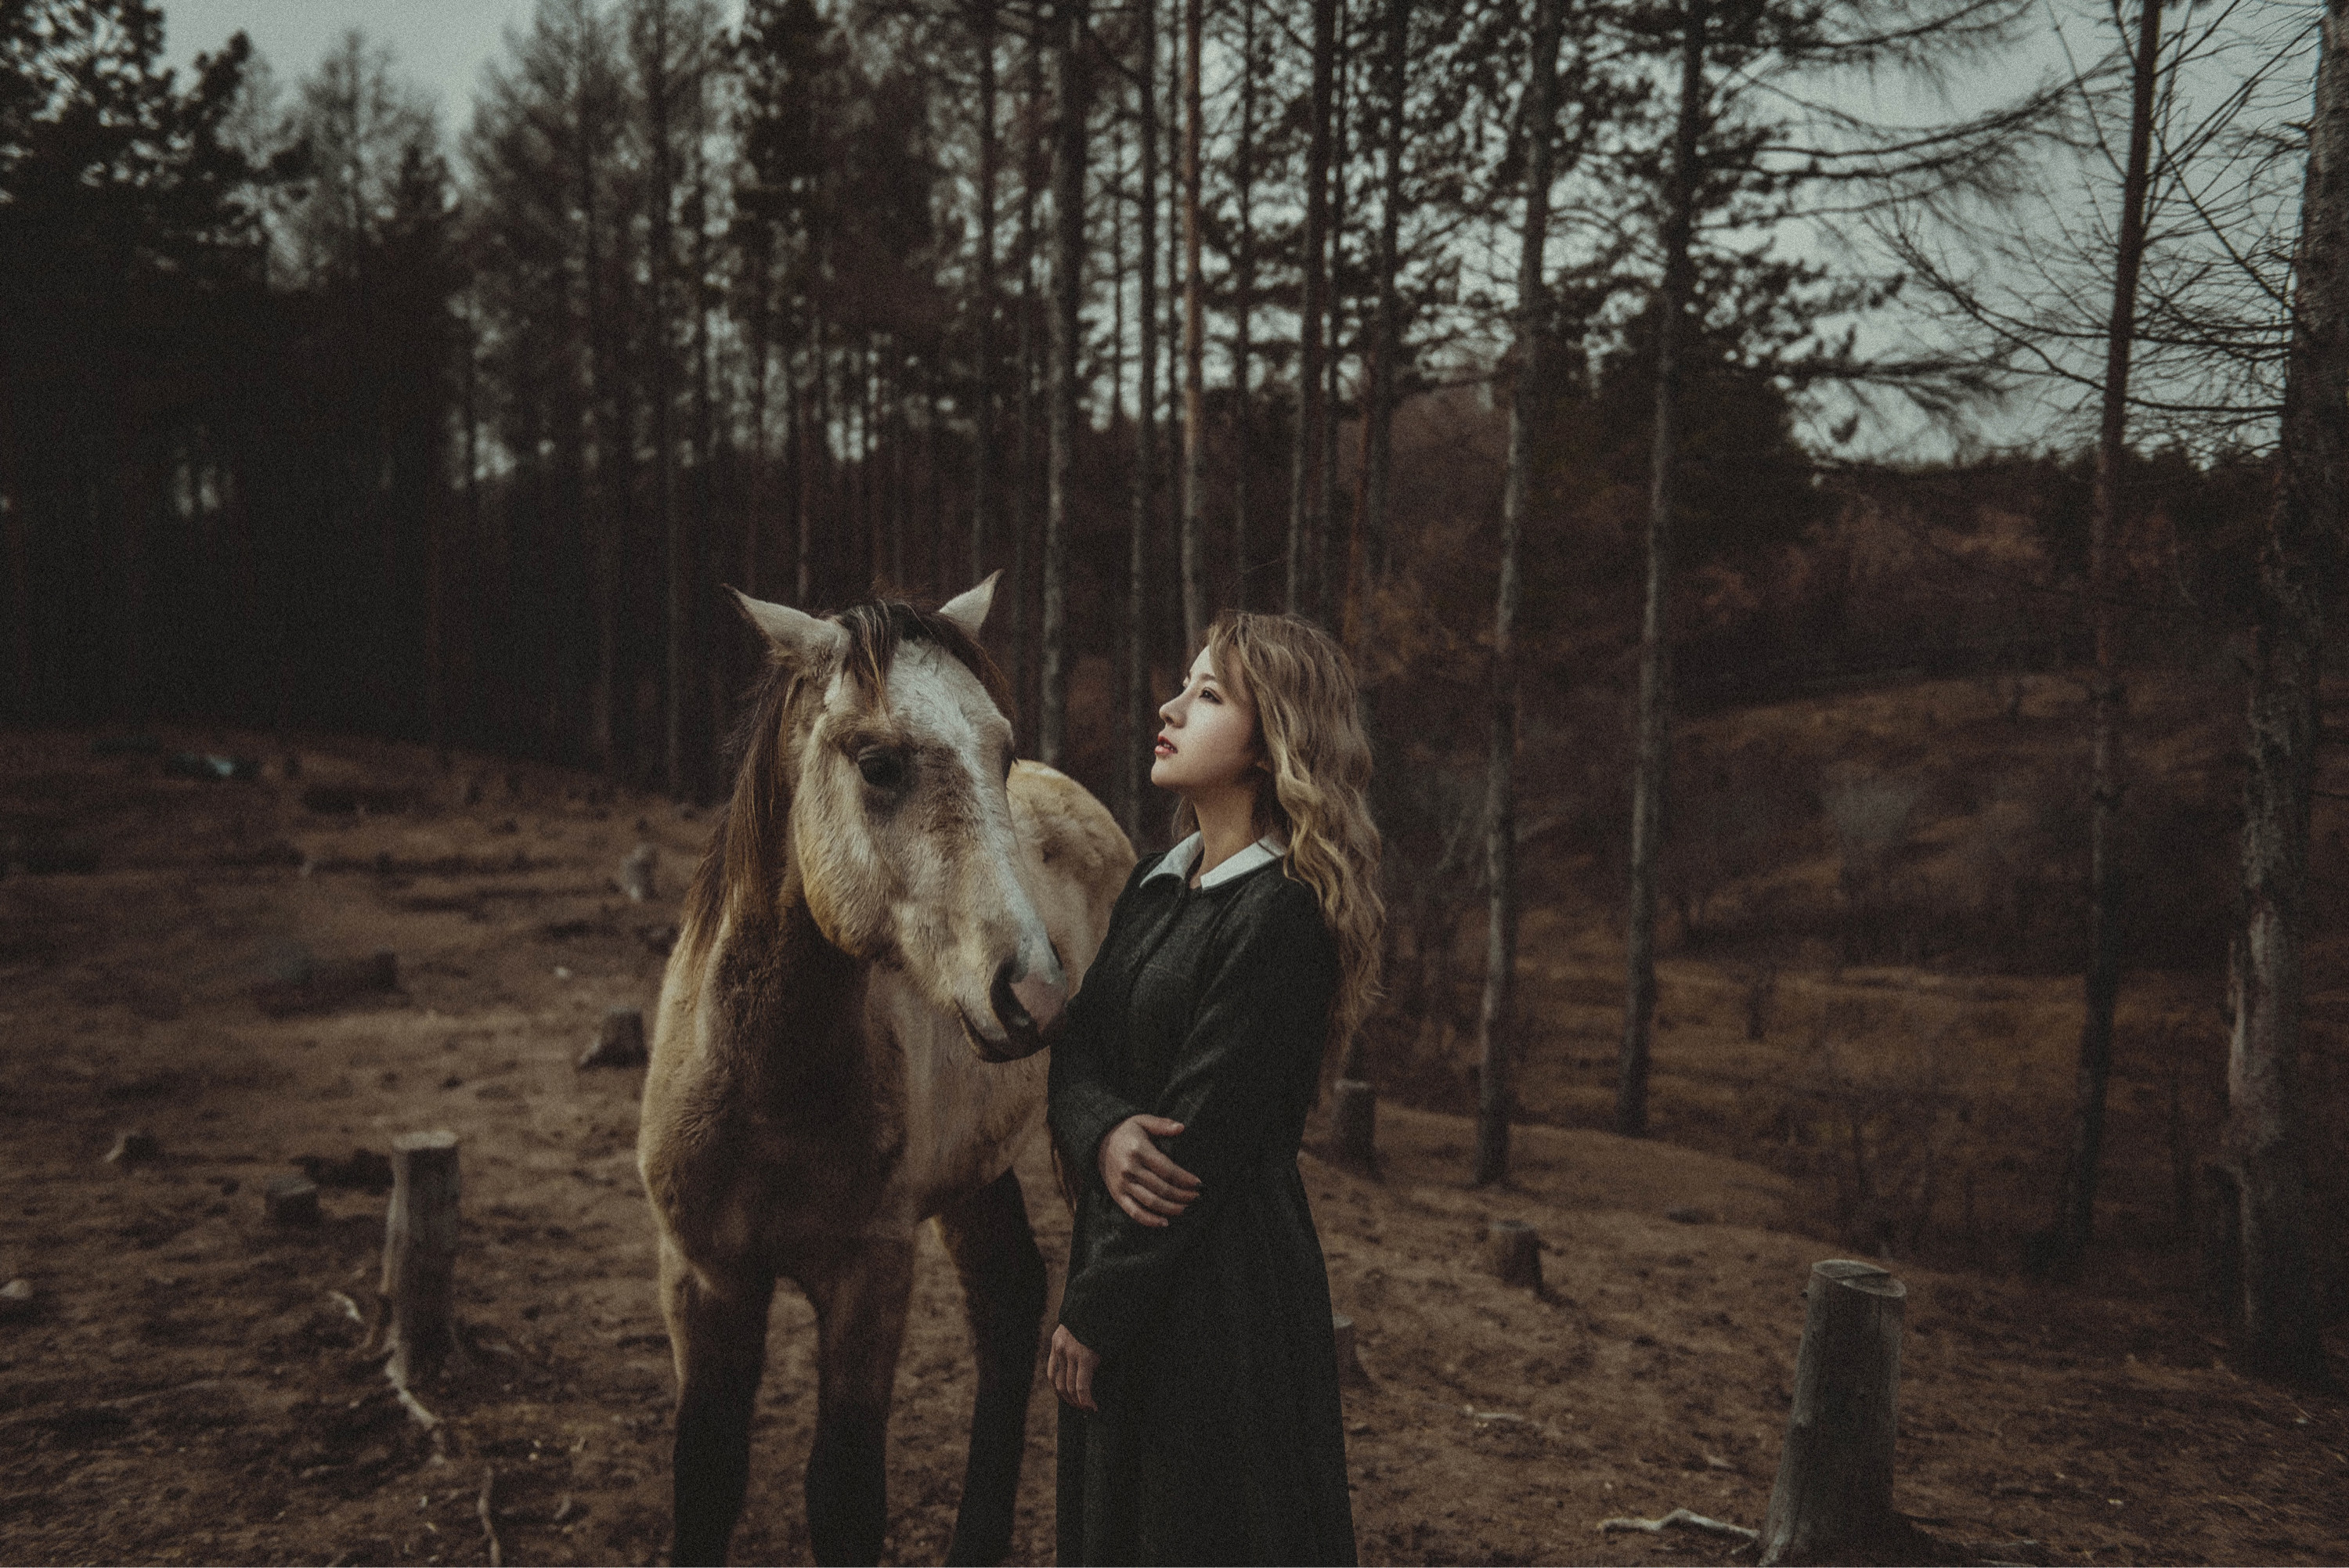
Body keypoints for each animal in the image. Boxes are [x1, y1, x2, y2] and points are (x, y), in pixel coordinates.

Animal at [634, 579, 1128, 1568]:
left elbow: (846, 1493)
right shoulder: (702, 1277)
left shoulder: (870, 1278)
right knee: (1008, 1299)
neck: (768, 1096)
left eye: (1001, 750)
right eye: (877, 763)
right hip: (975, 1170)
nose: (1038, 990)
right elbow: (706, 1478)